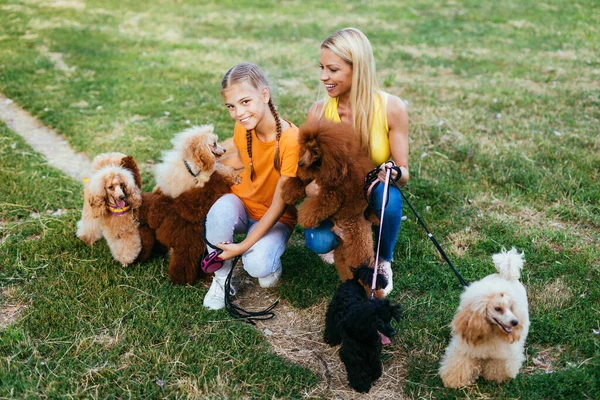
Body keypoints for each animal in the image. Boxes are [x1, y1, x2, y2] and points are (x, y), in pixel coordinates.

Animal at [324, 266, 404, 394]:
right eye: (380, 322)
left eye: (389, 319)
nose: (393, 333)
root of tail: (353, 280)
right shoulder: (352, 354)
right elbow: (358, 369)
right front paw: (361, 385)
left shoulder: (373, 349)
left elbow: (373, 361)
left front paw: (375, 374)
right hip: (332, 310)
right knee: (330, 323)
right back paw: (331, 339)